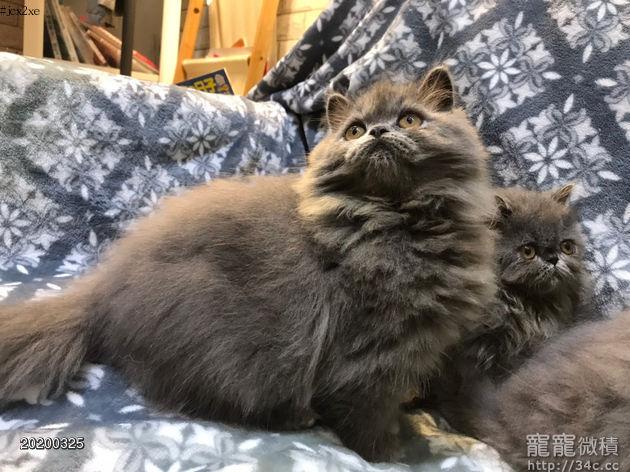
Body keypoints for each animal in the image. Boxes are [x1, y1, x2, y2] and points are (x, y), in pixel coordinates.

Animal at [0, 66, 496, 461]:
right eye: (354, 131)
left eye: (410, 119)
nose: (377, 132)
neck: (391, 219)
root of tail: (102, 292)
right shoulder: (370, 351)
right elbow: (367, 417)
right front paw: (388, 455)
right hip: (223, 343)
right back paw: (297, 418)